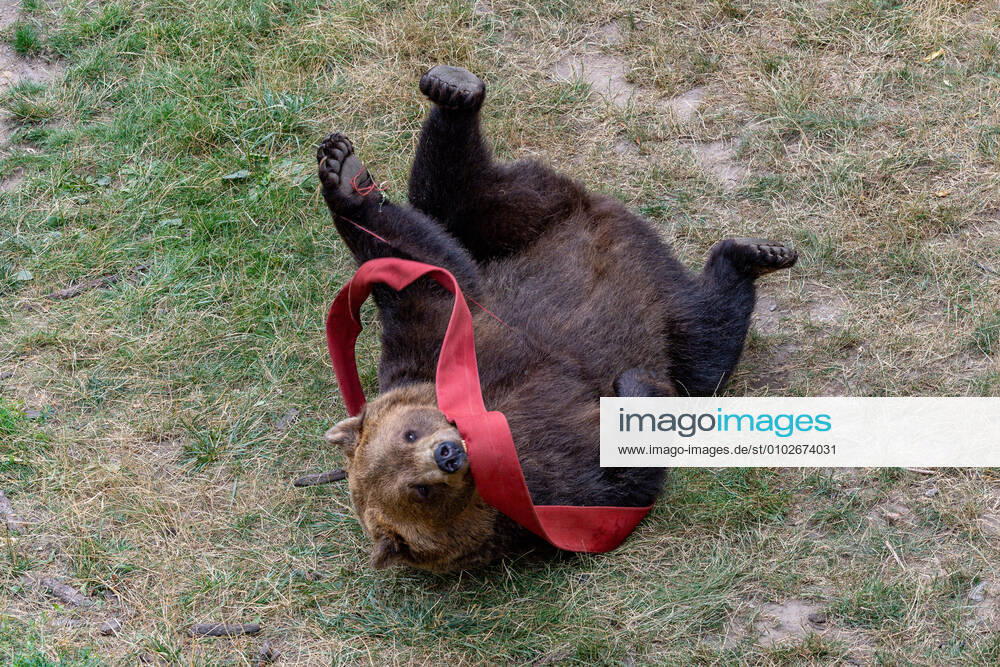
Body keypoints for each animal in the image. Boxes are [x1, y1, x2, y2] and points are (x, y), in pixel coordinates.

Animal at [317, 65, 796, 571]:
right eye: (419, 490)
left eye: (410, 433)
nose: (447, 453)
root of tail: (606, 214)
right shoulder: (547, 492)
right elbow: (618, 474)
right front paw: (635, 387)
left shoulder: (442, 339)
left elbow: (416, 268)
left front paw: (344, 179)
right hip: (664, 312)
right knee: (705, 342)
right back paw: (746, 261)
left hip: (522, 224)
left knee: (454, 196)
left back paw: (446, 94)